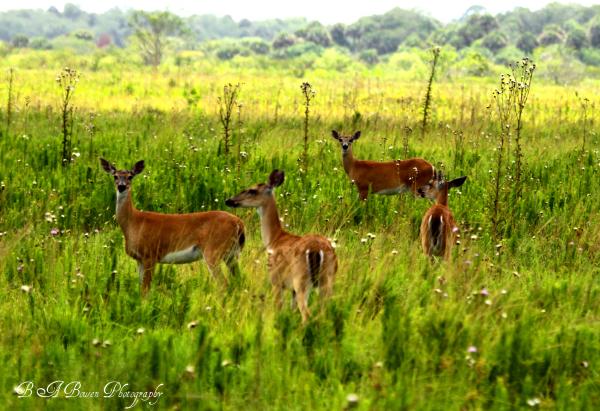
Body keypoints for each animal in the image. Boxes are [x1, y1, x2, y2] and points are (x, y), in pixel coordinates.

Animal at [99, 159, 245, 296]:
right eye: (115, 176)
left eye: (130, 176)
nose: (121, 186)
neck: (133, 223)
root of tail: (239, 223)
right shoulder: (139, 259)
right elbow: (141, 287)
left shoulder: (150, 254)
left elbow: (145, 289)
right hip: (231, 255)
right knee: (239, 282)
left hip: (213, 250)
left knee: (223, 284)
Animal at [225, 171, 338, 326]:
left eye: (252, 190)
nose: (229, 200)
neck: (275, 238)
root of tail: (317, 249)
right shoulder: (292, 290)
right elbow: (292, 310)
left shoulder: (276, 281)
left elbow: (279, 307)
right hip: (327, 279)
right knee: (324, 313)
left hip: (301, 279)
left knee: (307, 314)